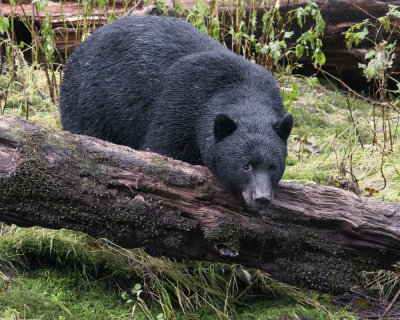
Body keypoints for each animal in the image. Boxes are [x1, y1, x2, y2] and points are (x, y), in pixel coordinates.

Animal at [59, 15, 292, 210]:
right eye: (246, 166)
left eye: (273, 167)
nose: (261, 198)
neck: (240, 88)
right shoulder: (177, 106)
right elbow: (162, 149)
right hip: (90, 101)